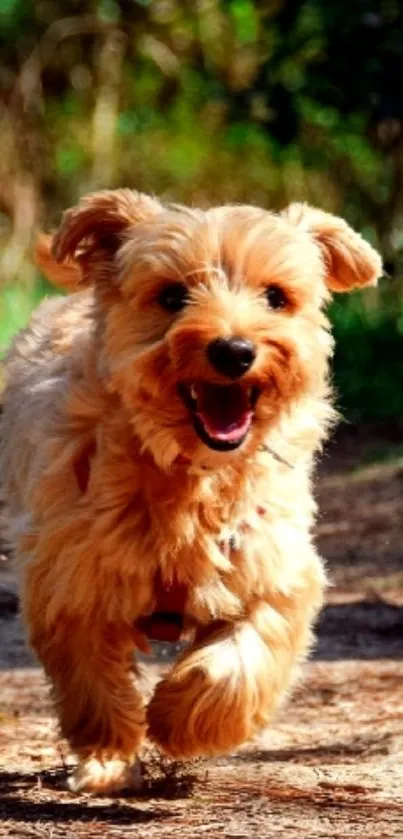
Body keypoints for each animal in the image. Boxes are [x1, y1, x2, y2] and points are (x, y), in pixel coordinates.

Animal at [0, 190, 384, 796]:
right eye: (172, 296)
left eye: (276, 297)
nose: (234, 350)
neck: (189, 473)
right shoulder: (71, 574)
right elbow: (93, 678)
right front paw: (109, 756)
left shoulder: (273, 567)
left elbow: (241, 658)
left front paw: (181, 720)